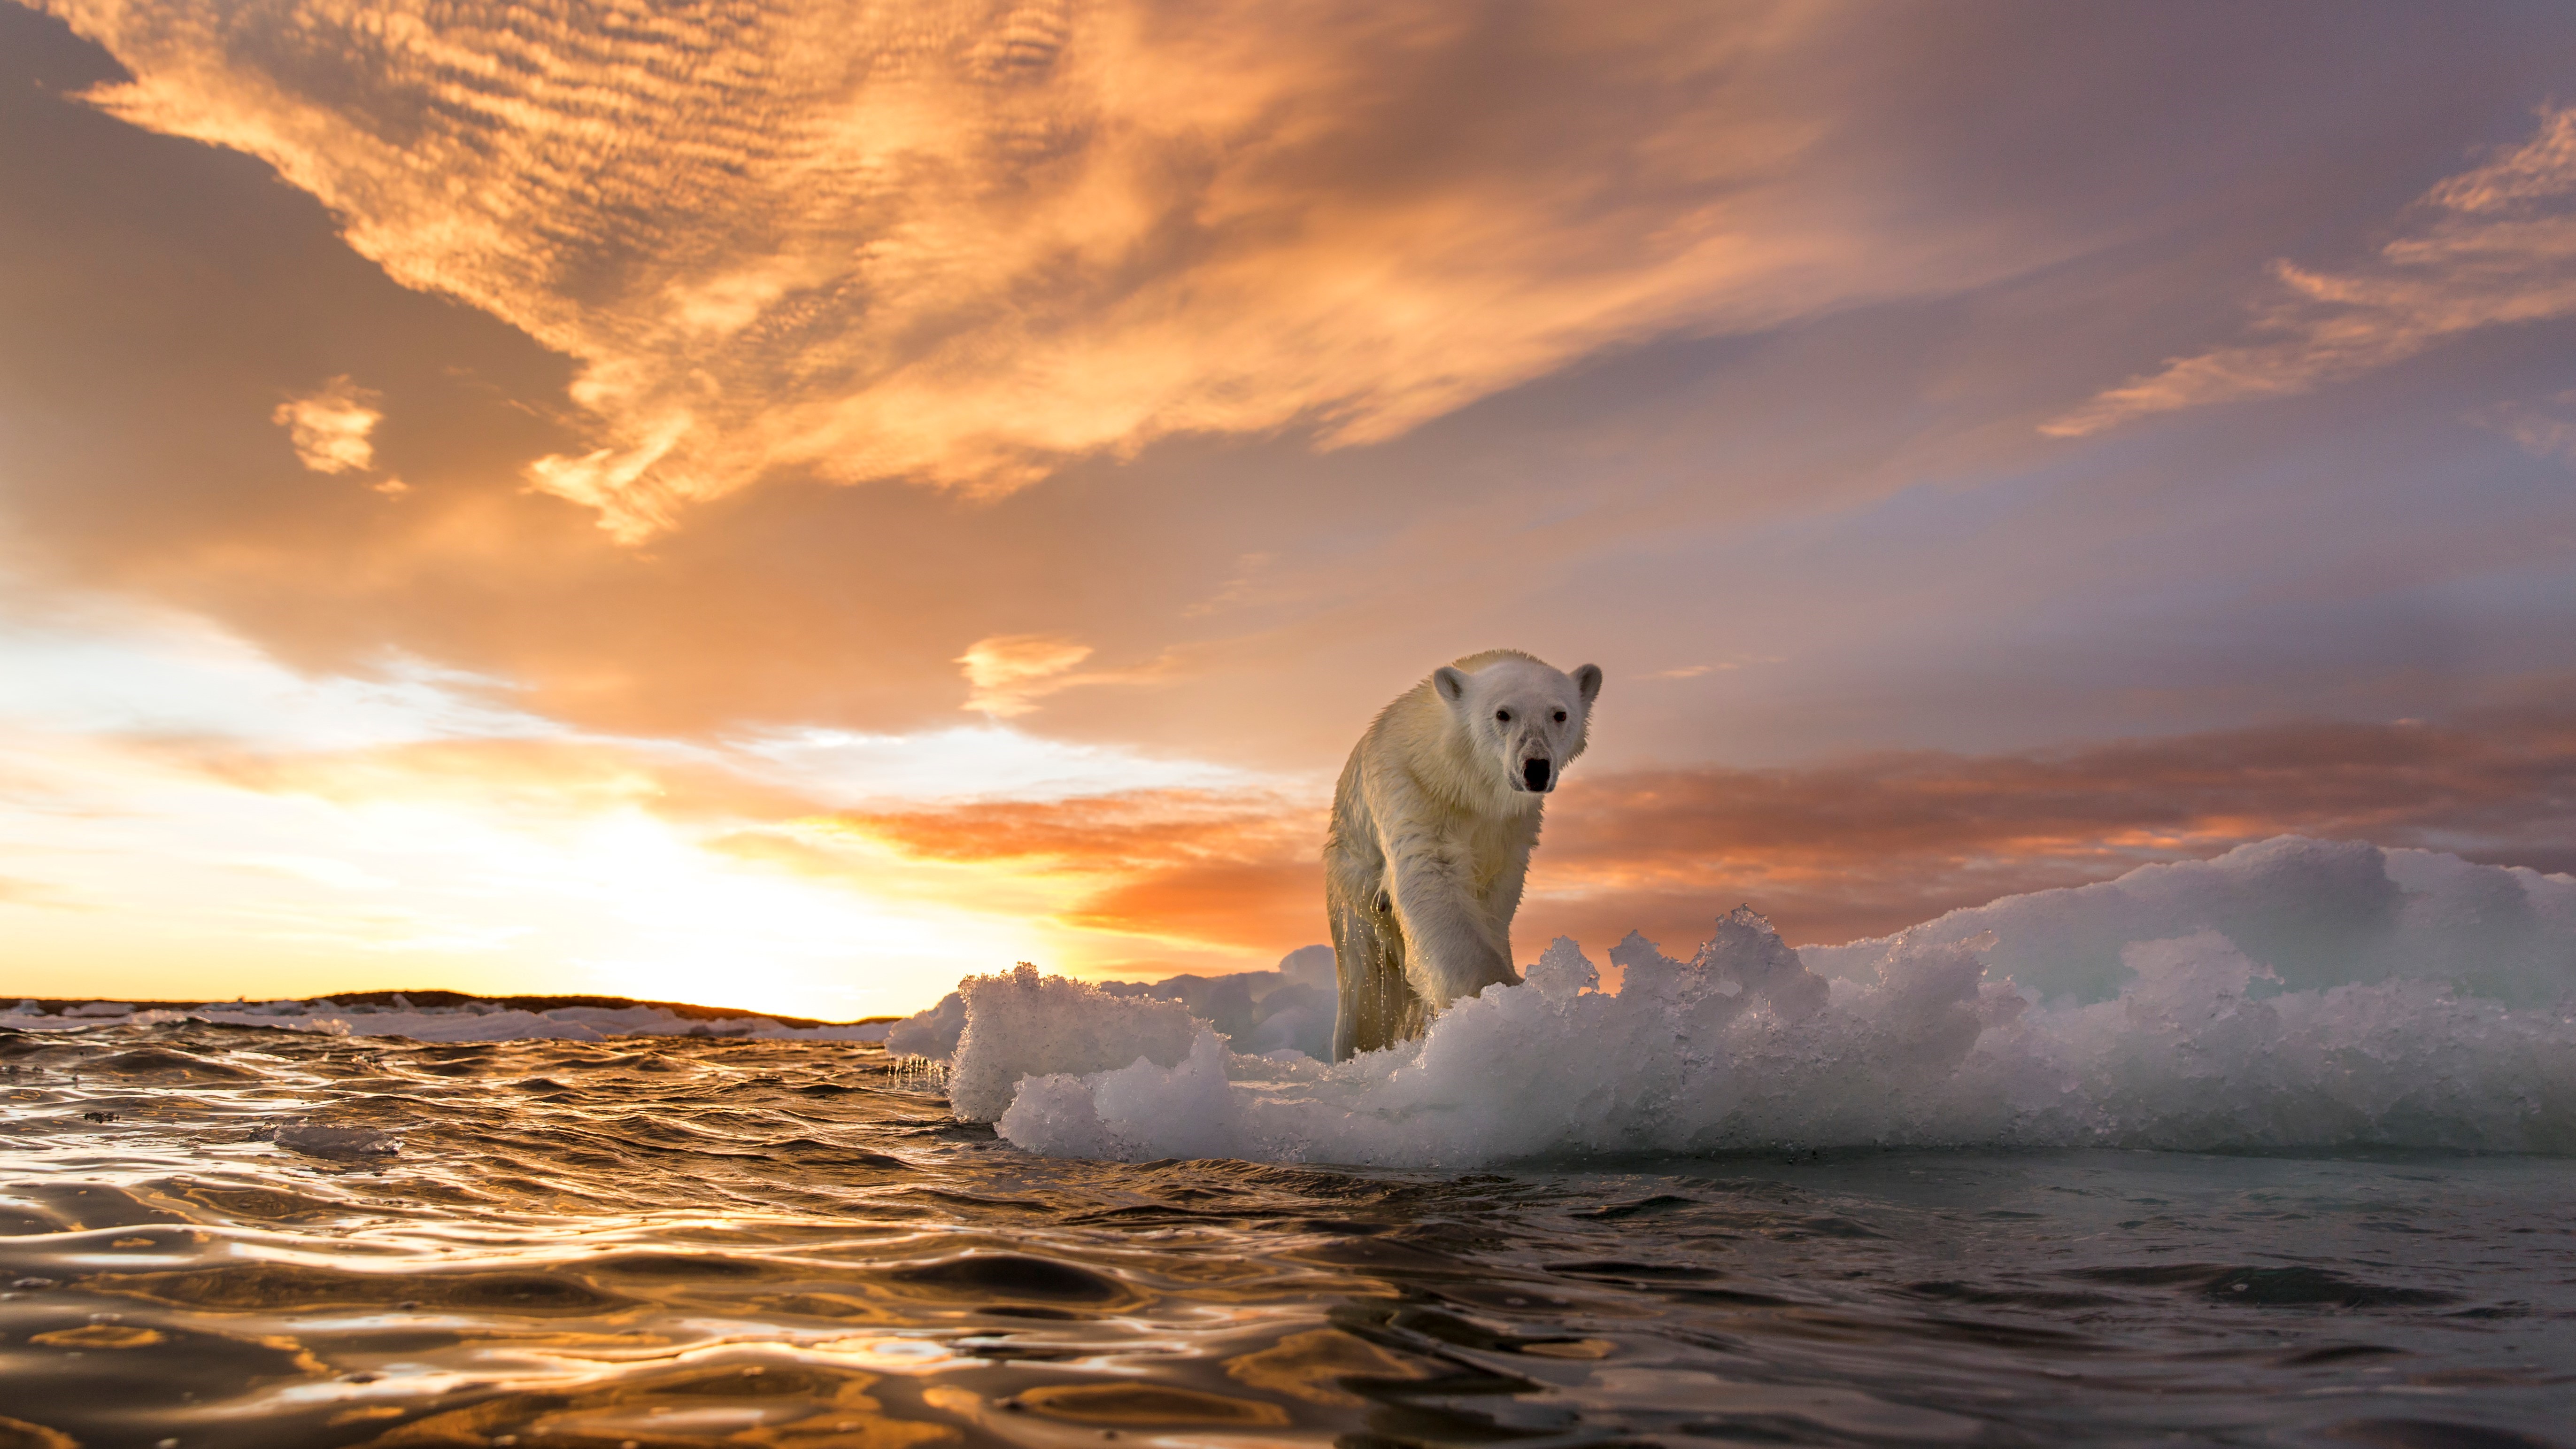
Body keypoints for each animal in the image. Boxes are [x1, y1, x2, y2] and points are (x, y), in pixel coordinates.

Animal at [1329, 650, 1587, 1057]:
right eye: (1503, 713)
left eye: (1559, 714)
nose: (1536, 768)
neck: (1464, 783)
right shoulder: (1413, 790)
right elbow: (1432, 878)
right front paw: (1499, 996)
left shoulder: (1511, 827)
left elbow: (1495, 896)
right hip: (1354, 889)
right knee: (1367, 993)